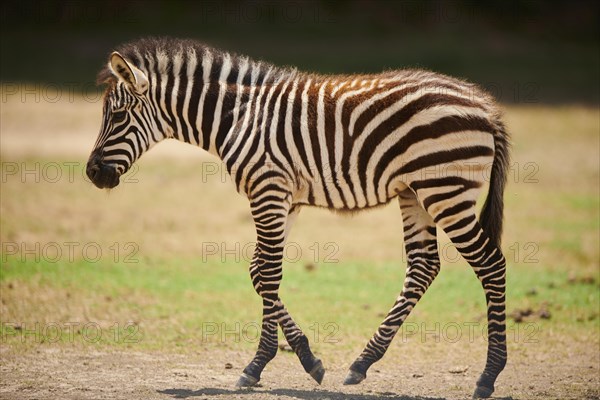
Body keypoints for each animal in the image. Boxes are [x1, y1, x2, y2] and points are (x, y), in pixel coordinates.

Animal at [88, 36, 510, 396]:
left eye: (119, 115)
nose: (92, 174)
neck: (237, 118)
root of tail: (485, 105)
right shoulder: (283, 199)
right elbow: (259, 273)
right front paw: (288, 360)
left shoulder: (267, 189)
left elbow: (269, 274)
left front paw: (272, 364)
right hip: (415, 193)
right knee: (423, 267)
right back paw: (362, 363)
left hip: (445, 190)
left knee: (491, 264)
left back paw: (489, 375)